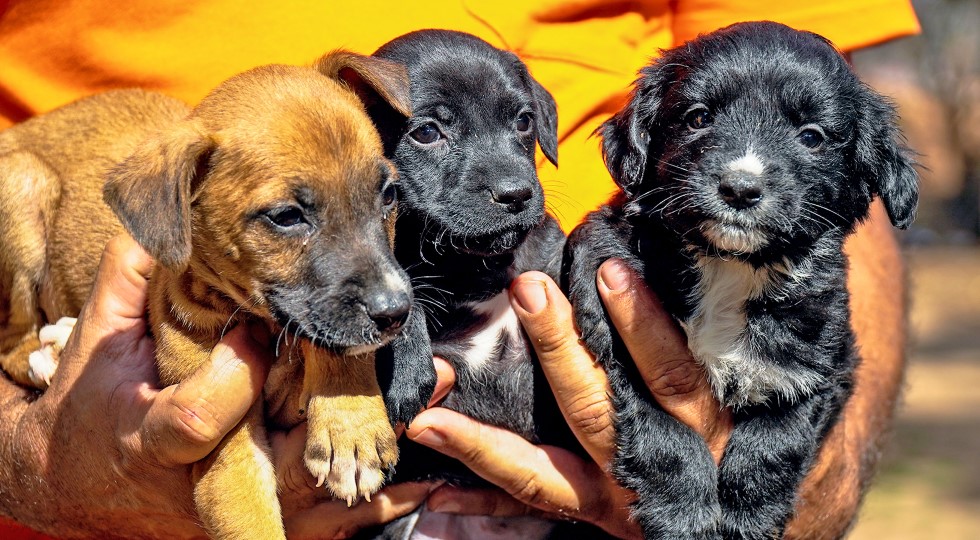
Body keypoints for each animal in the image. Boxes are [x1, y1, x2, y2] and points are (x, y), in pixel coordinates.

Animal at [0, 52, 430, 539]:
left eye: (389, 194)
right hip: (21, 184)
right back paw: (51, 356)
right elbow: (248, 514)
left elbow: (333, 340)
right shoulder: (225, 442)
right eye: (286, 217)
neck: (261, 324)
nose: (396, 313)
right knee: (12, 342)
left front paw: (351, 426)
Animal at [349, 30, 574, 539]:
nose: (516, 194)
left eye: (524, 121)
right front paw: (406, 370)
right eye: (427, 132)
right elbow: (397, 288)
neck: (472, 268)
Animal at [563, 22, 918, 539]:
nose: (740, 188)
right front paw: (683, 511)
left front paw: (746, 516)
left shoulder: (817, 365)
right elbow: (663, 430)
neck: (729, 267)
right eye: (697, 118)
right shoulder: (619, 335)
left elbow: (776, 439)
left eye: (811, 137)